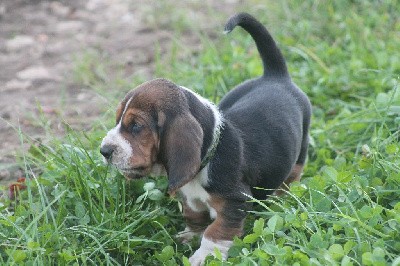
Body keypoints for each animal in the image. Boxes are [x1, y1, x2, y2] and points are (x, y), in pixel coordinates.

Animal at [101, 11, 312, 264]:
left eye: (135, 126)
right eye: (118, 120)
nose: (104, 151)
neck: (210, 154)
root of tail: (275, 76)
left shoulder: (234, 202)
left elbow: (217, 232)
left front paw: (204, 256)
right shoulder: (190, 198)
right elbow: (194, 217)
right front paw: (190, 236)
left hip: (300, 148)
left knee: (293, 174)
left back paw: (282, 197)